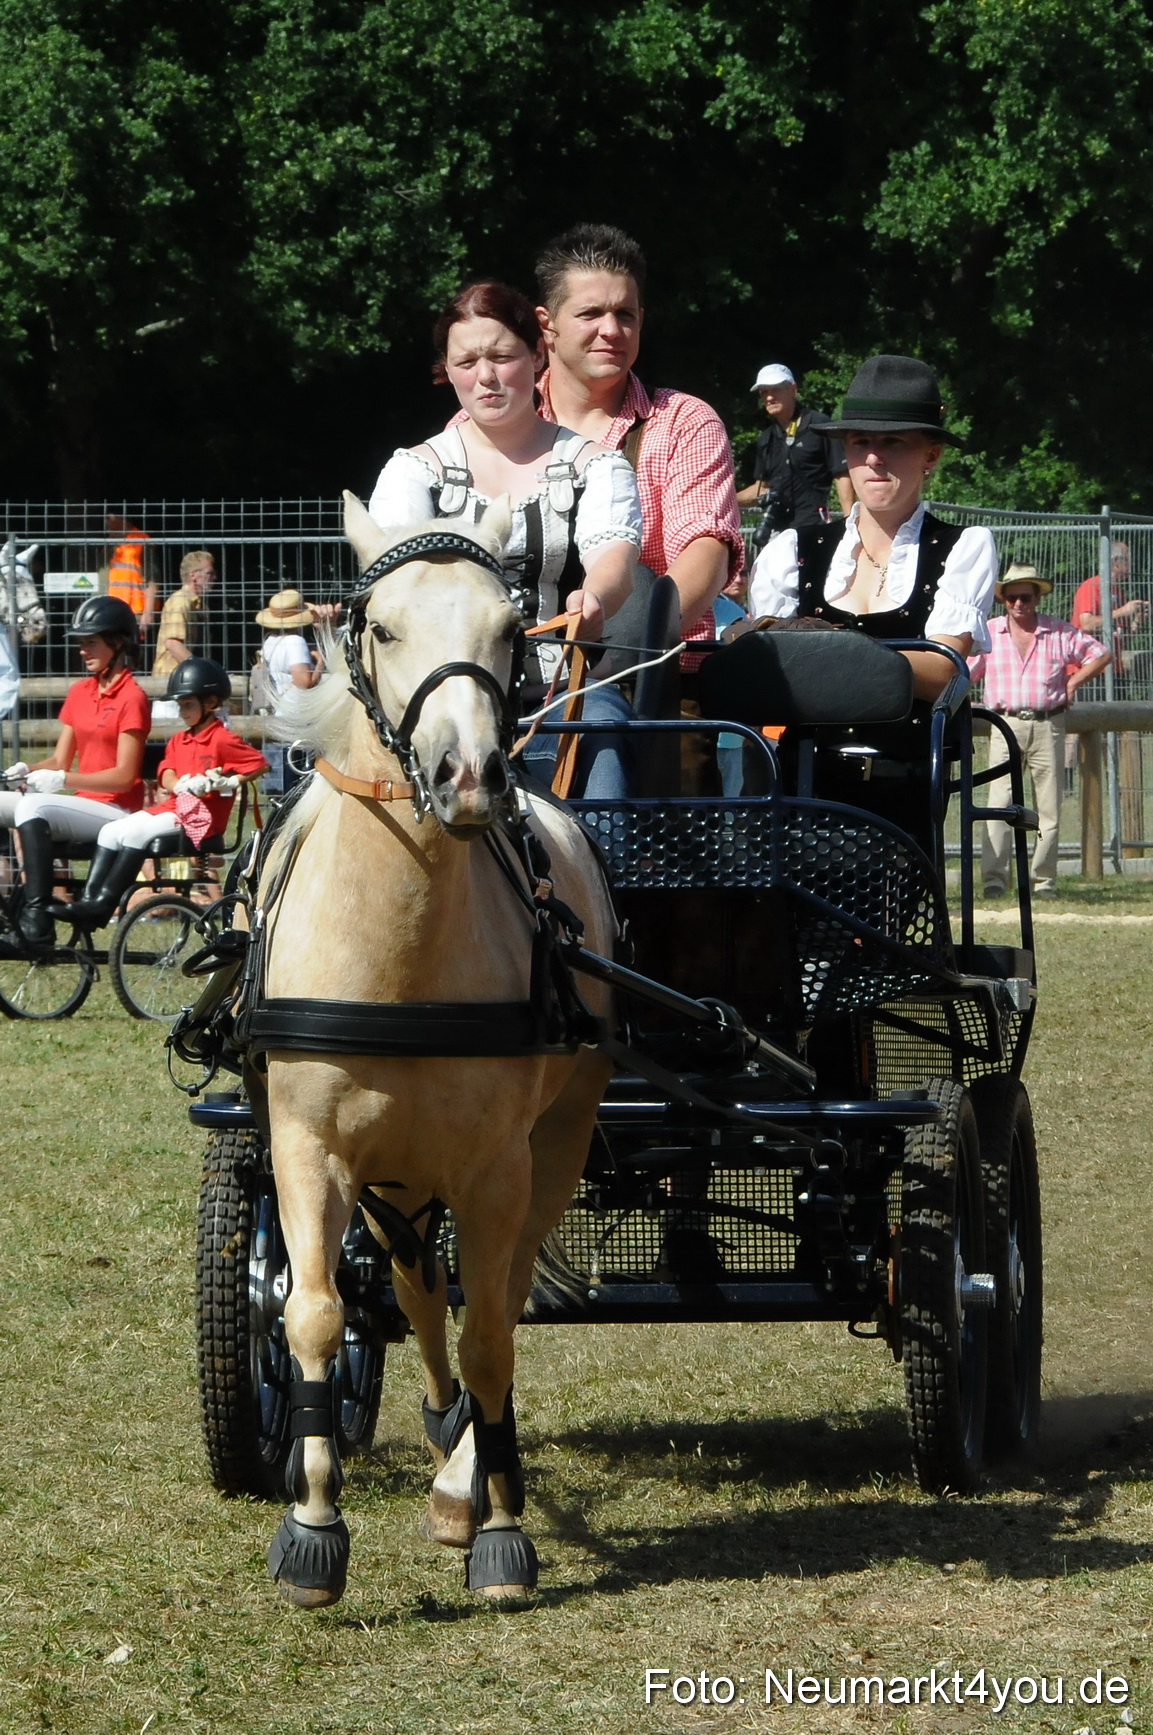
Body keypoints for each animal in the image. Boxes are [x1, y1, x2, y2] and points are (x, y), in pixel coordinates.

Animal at [250, 491, 615, 1607]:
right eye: (381, 626)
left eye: (509, 629)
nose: (466, 776)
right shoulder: (306, 1147)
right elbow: (316, 1315)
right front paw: (311, 1528)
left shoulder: (496, 1166)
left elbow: (490, 1331)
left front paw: (496, 1524)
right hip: (393, 1174)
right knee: (413, 1290)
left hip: (553, 1141)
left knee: (489, 1298)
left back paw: (466, 1476)